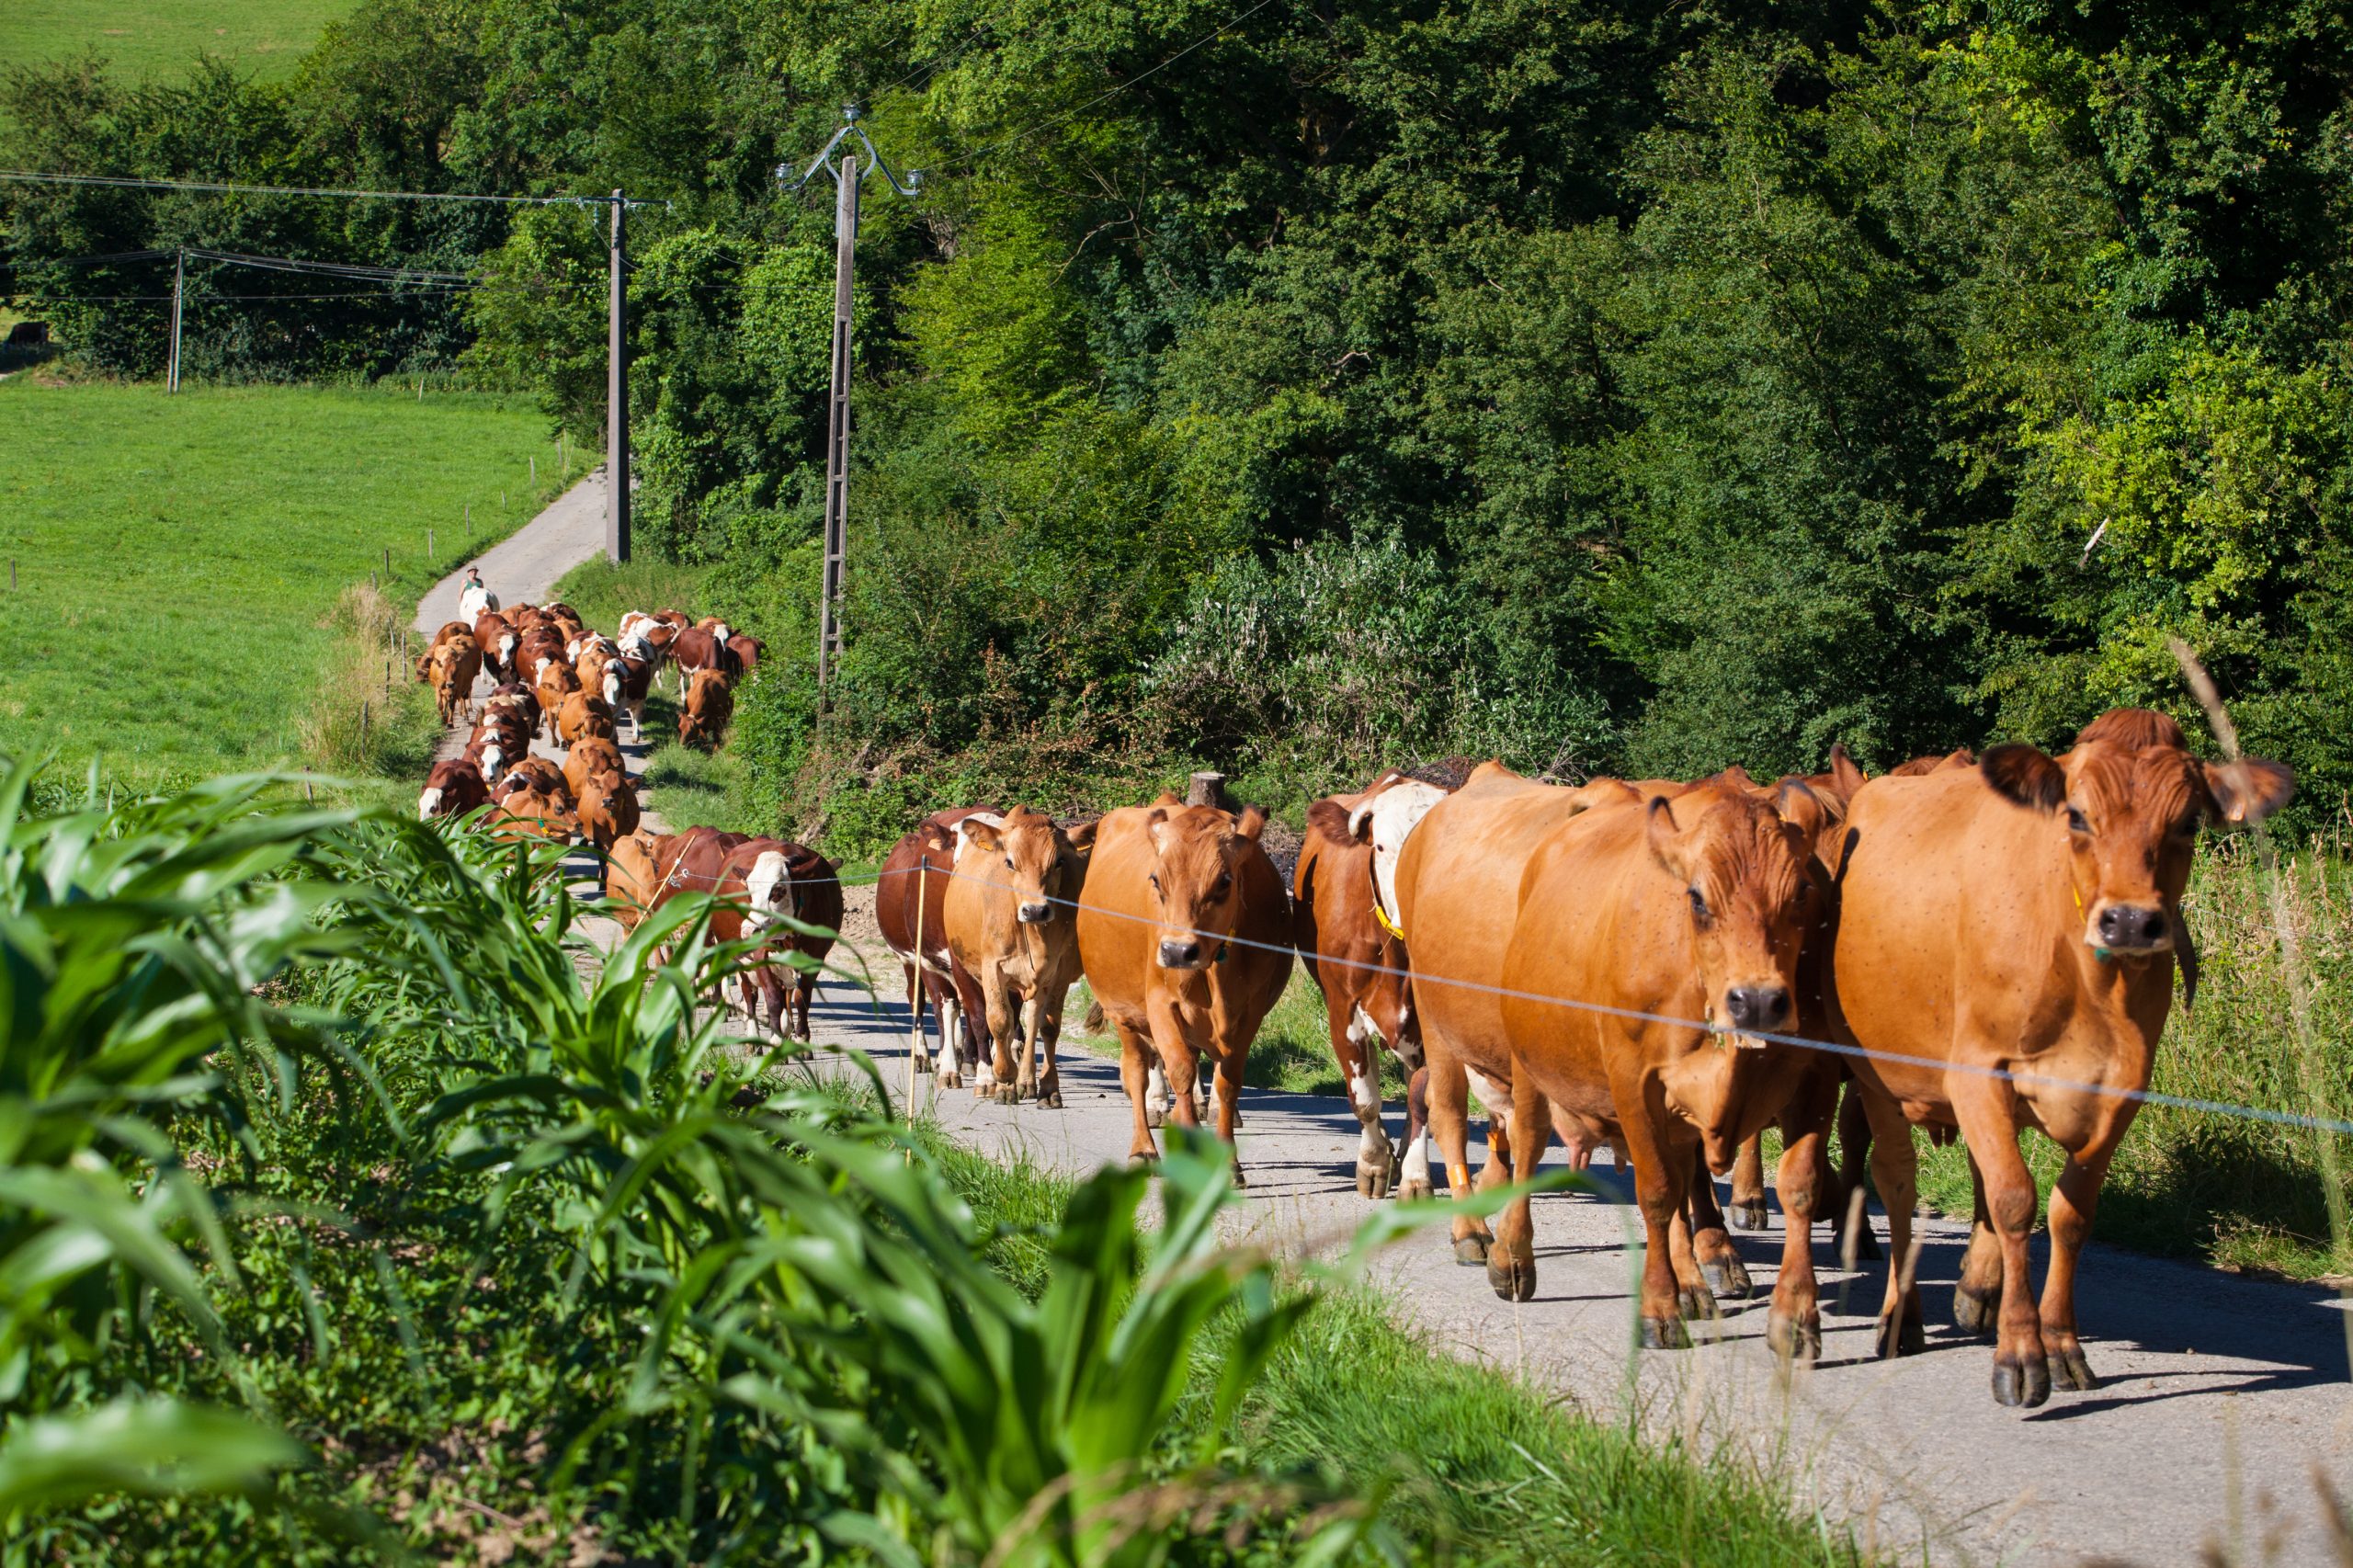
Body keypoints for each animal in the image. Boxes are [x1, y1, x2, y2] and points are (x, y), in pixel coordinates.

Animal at [941, 805, 1096, 1096]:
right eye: (1010, 862)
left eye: (1059, 862)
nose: (1035, 910)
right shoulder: (993, 966)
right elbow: (999, 1020)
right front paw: (1003, 1078)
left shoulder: (1059, 970)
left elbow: (1048, 1026)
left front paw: (1048, 1087)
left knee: (1033, 1019)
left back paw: (1026, 1079)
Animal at [1073, 795, 1289, 1172]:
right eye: (1156, 880)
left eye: (1225, 880)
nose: (1177, 951)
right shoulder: (1160, 1004)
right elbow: (1181, 1071)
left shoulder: (1250, 1012)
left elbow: (1228, 1081)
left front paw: (1230, 1165)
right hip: (1123, 1013)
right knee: (1136, 1070)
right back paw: (1143, 1147)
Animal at [1825, 706, 2287, 1403]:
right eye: (2076, 816)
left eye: (2188, 822)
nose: (2130, 922)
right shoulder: (1977, 1070)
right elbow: (2015, 1199)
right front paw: (2021, 1353)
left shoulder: (2123, 1089)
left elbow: (2071, 1212)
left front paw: (2062, 1344)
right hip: (1879, 1077)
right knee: (1898, 1184)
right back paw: (1900, 1317)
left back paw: (1975, 1292)